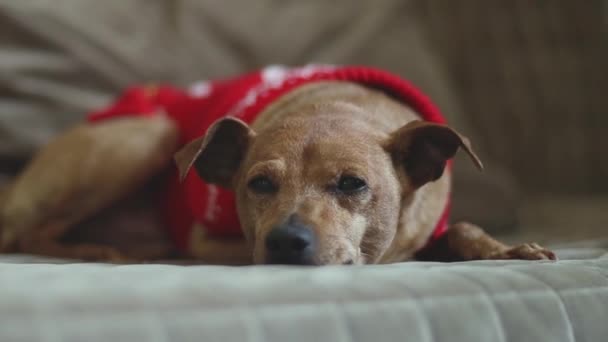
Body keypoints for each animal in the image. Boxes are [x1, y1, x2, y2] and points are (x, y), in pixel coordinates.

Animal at [0, 66, 556, 264]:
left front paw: (503, 249)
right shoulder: (207, 241)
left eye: (353, 184)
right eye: (259, 184)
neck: (335, 103)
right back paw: (98, 250)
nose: (287, 241)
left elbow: (460, 229)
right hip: (145, 138)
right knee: (24, 234)